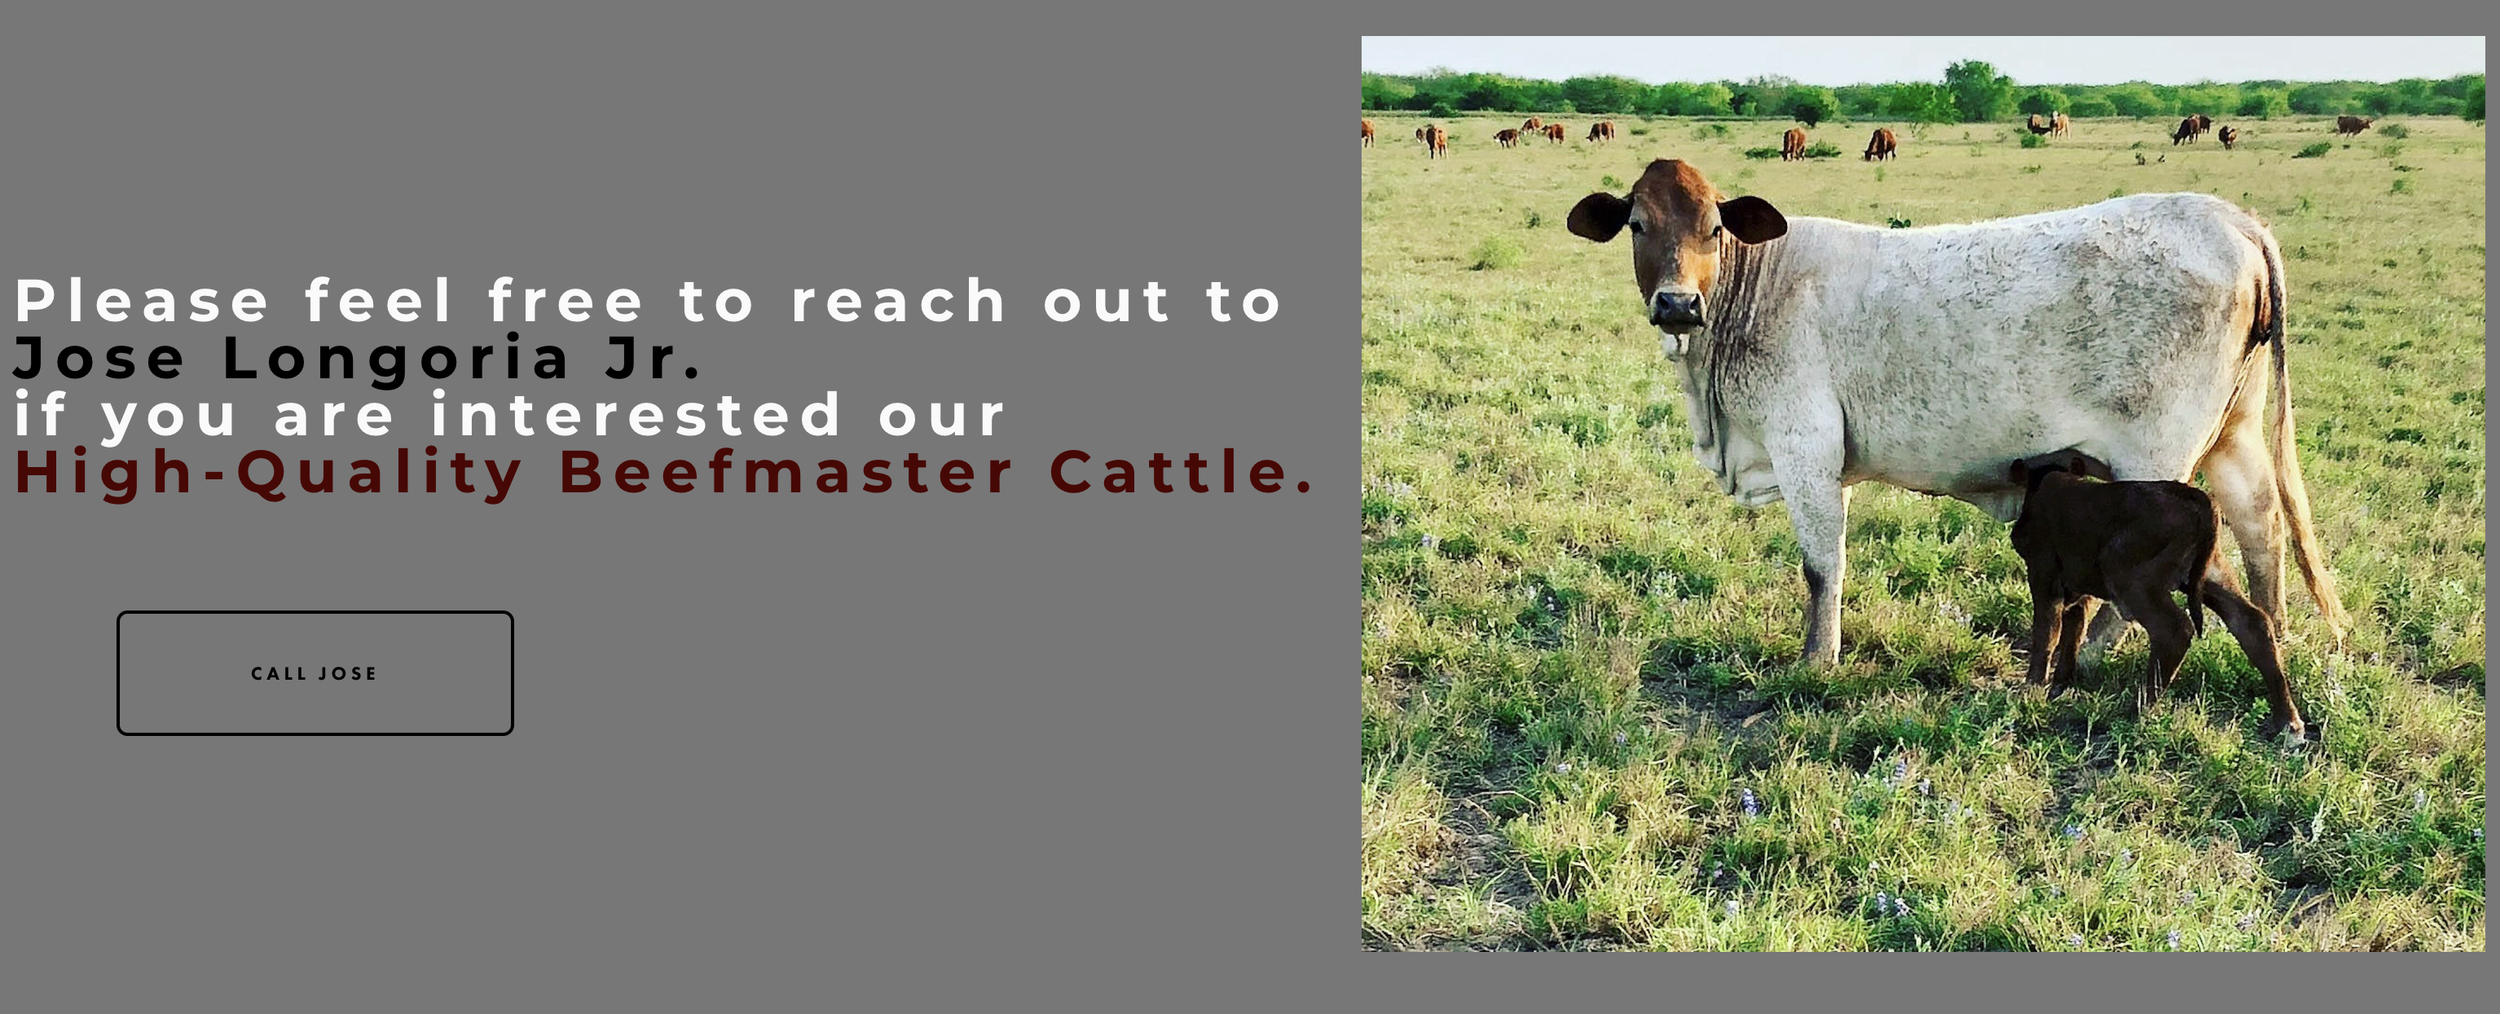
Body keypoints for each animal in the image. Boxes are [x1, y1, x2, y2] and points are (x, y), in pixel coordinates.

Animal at [1563, 158, 2351, 668]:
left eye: (1713, 227)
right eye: (1637, 225)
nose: (1677, 304)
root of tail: (2232, 218)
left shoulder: (1804, 448)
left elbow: (1822, 566)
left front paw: (1816, 661)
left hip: (2156, 456)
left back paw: (2094, 655)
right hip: (2235, 435)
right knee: (2262, 523)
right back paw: (2274, 633)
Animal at [2008, 457, 2310, 741]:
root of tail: (2196, 497)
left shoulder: (2044, 575)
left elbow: (2046, 633)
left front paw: (2031, 689)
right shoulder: (2076, 586)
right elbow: (2072, 630)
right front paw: (2059, 685)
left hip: (2129, 575)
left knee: (2174, 629)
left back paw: (2135, 711)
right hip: (2211, 573)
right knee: (2251, 622)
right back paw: (2288, 723)